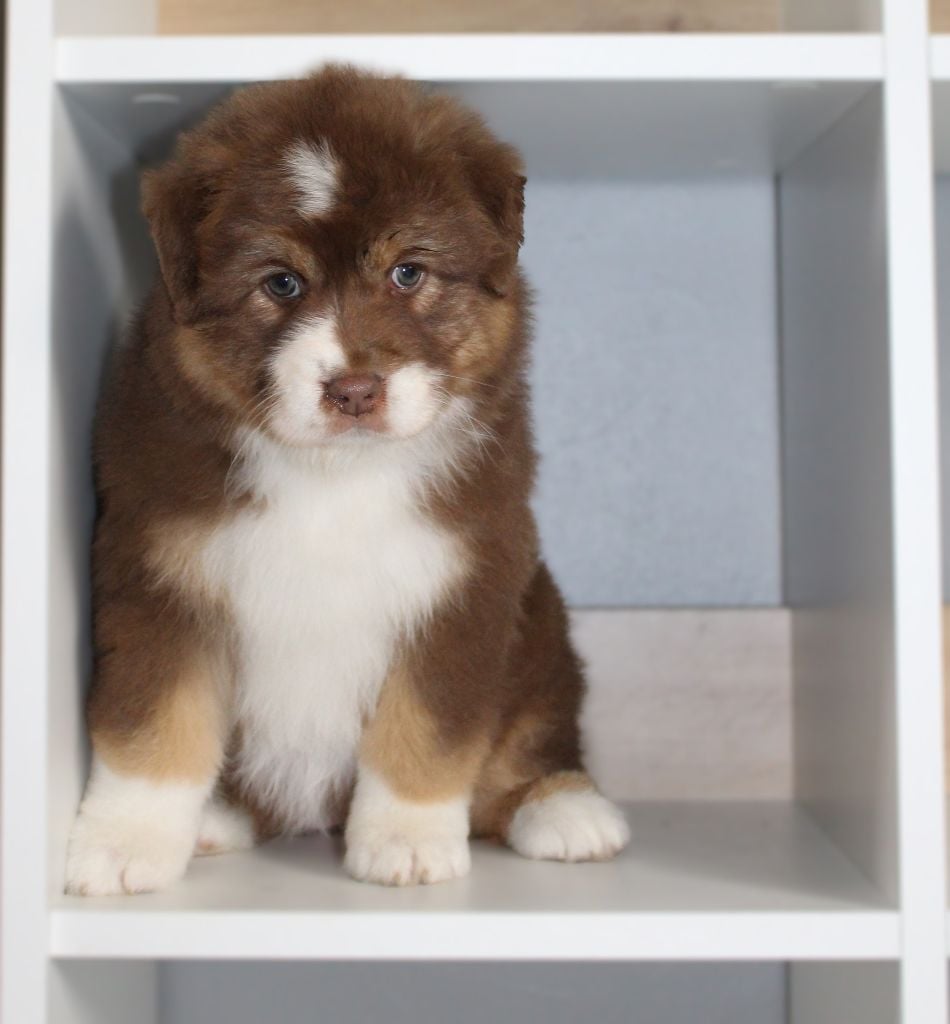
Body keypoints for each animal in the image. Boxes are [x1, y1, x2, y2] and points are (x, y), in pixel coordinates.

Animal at [65, 66, 629, 894]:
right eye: (280, 283)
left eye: (408, 272)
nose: (354, 391)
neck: (332, 474)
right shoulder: (160, 576)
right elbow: (153, 722)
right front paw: (119, 845)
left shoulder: (462, 582)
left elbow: (425, 728)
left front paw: (407, 842)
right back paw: (218, 819)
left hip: (543, 632)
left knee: (532, 735)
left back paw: (563, 807)